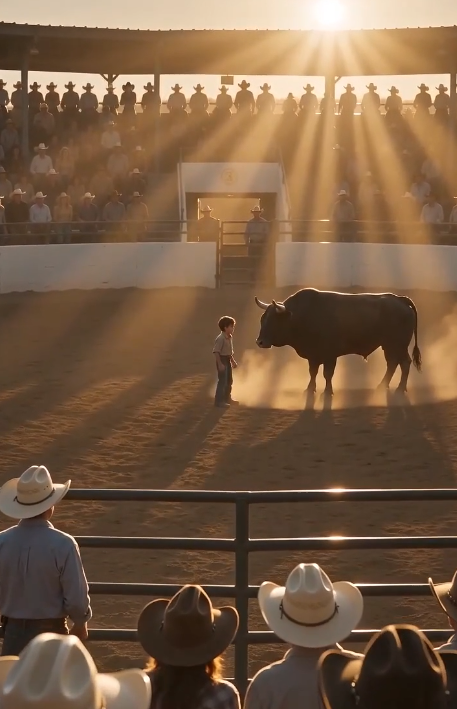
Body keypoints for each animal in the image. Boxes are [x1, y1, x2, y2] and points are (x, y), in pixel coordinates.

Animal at [254, 288, 422, 396]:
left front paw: (328, 391)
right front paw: (310, 389)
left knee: (404, 363)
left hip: (397, 345)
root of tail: (399, 298)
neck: (303, 315)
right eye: (262, 319)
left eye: (274, 320)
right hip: (389, 346)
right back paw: (382, 386)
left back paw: (399, 388)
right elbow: (313, 372)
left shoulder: (330, 355)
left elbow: (327, 373)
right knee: (393, 363)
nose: (260, 342)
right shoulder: (313, 355)